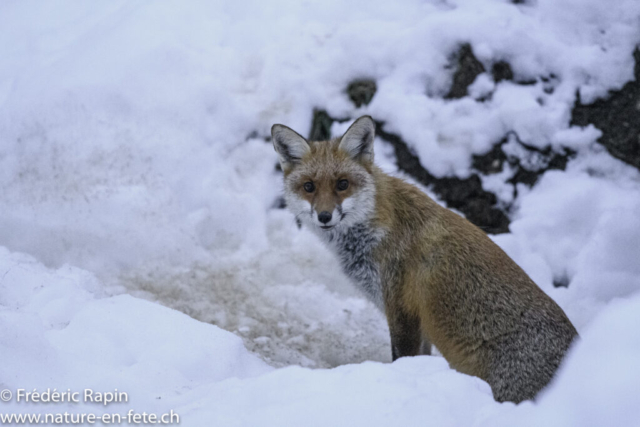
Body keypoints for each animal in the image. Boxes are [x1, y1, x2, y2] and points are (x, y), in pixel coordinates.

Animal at [270, 115, 580, 402]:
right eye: (309, 187)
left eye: (343, 184)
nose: (324, 217)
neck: (378, 228)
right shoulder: (414, 320)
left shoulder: (402, 309)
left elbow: (402, 357)